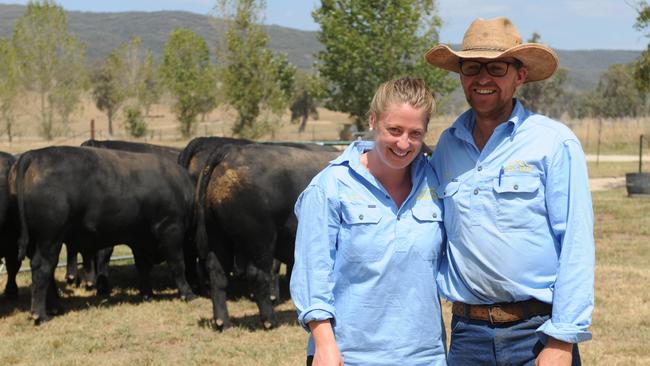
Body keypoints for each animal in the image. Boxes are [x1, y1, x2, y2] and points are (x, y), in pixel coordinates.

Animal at [12, 146, 195, 324]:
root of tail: (34, 155)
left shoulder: (139, 239)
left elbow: (143, 267)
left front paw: (147, 294)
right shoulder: (171, 229)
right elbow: (177, 264)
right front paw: (188, 293)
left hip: (38, 240)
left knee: (44, 270)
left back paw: (55, 308)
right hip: (50, 238)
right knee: (43, 268)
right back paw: (41, 315)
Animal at [194, 142, 336, 328]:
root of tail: (230, 152)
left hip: (217, 238)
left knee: (218, 275)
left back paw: (223, 322)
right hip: (261, 241)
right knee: (258, 276)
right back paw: (270, 320)